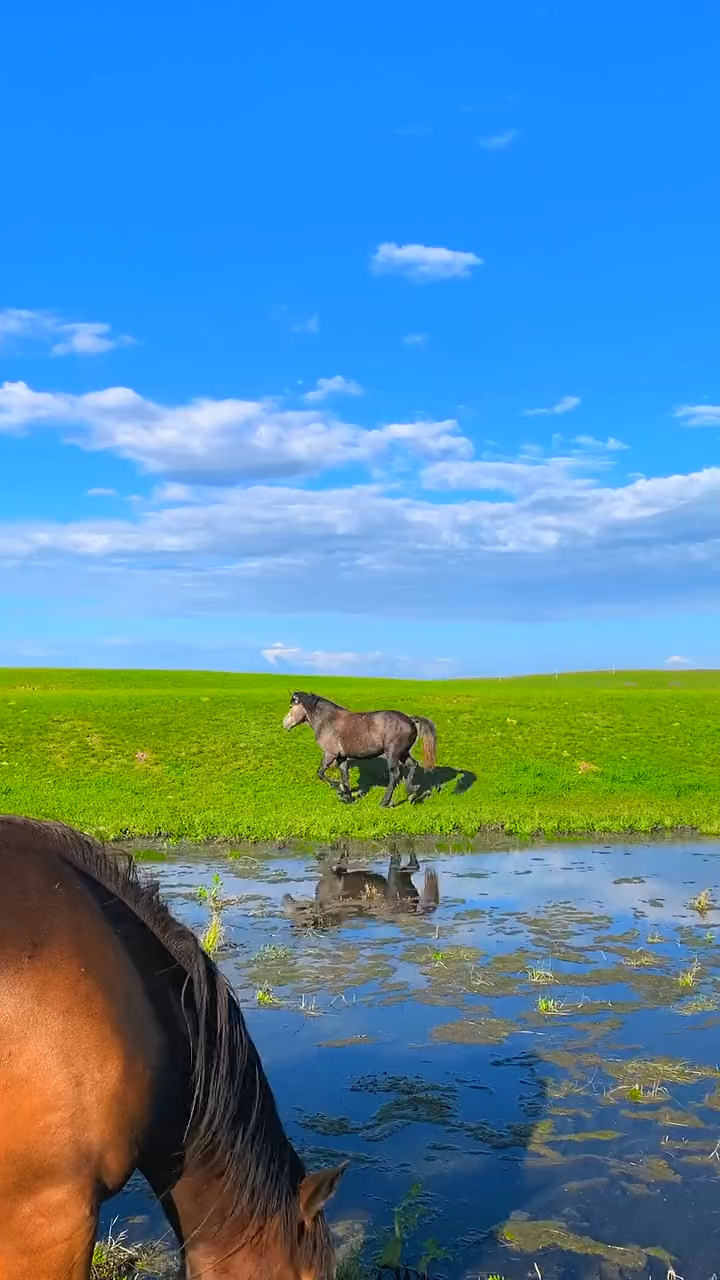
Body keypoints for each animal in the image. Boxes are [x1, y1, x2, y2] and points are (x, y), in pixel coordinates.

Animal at [282, 692, 437, 807]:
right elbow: (345, 776)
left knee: (395, 774)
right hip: (403, 753)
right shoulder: (341, 757)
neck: (328, 721)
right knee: (413, 765)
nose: (285, 725)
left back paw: (385, 802)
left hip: (393, 753)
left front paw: (339, 790)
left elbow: (320, 773)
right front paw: (348, 798)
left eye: (290, 706)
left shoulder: (330, 754)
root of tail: (411, 720)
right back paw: (411, 793)